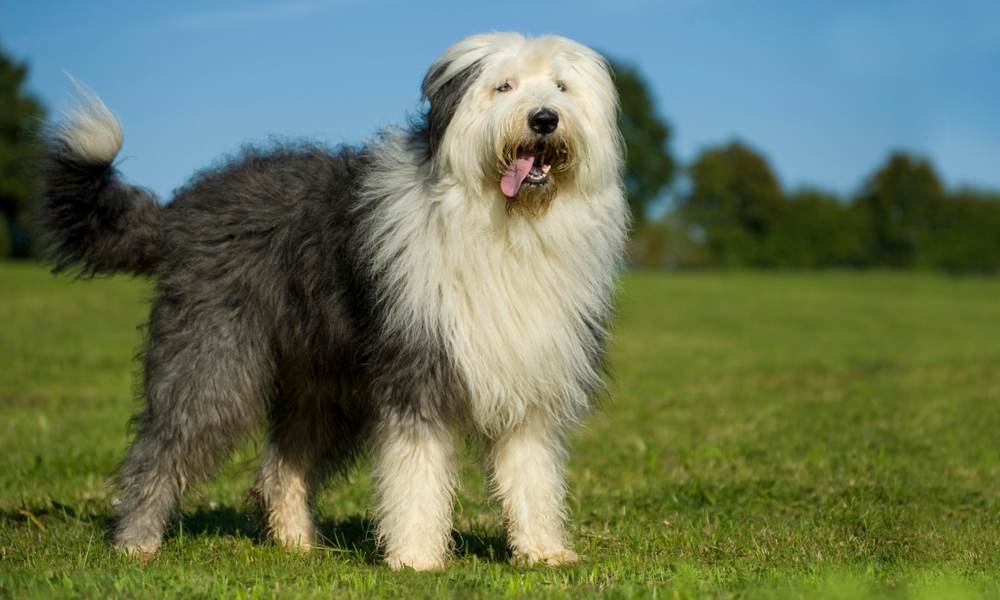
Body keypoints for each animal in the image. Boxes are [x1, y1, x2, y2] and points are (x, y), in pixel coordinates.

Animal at [39, 32, 624, 572]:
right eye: (503, 86)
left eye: (561, 87)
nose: (544, 119)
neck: (504, 223)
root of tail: (177, 211)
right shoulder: (415, 368)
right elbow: (416, 471)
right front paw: (417, 559)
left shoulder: (528, 375)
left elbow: (531, 471)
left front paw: (543, 552)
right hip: (212, 354)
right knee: (163, 446)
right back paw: (136, 542)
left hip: (320, 381)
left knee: (282, 467)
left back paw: (297, 543)